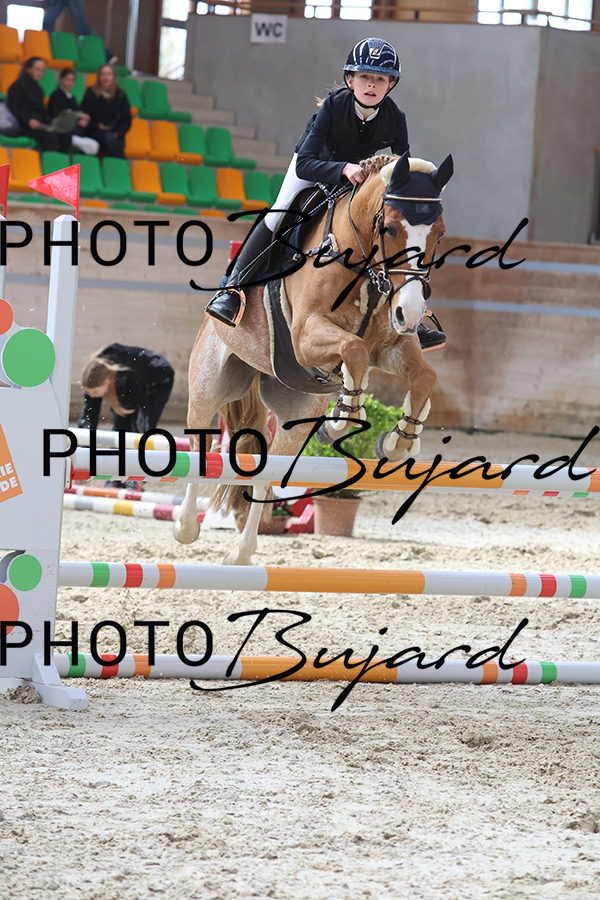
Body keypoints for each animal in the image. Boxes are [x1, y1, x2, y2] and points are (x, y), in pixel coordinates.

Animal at [174, 151, 453, 565]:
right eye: (388, 229)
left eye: (440, 233)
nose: (413, 314)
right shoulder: (306, 335)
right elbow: (353, 350)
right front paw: (343, 420)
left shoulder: (391, 346)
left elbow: (423, 377)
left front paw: (397, 441)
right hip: (210, 385)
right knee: (198, 447)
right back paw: (186, 527)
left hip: (296, 412)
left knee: (266, 471)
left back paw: (241, 553)